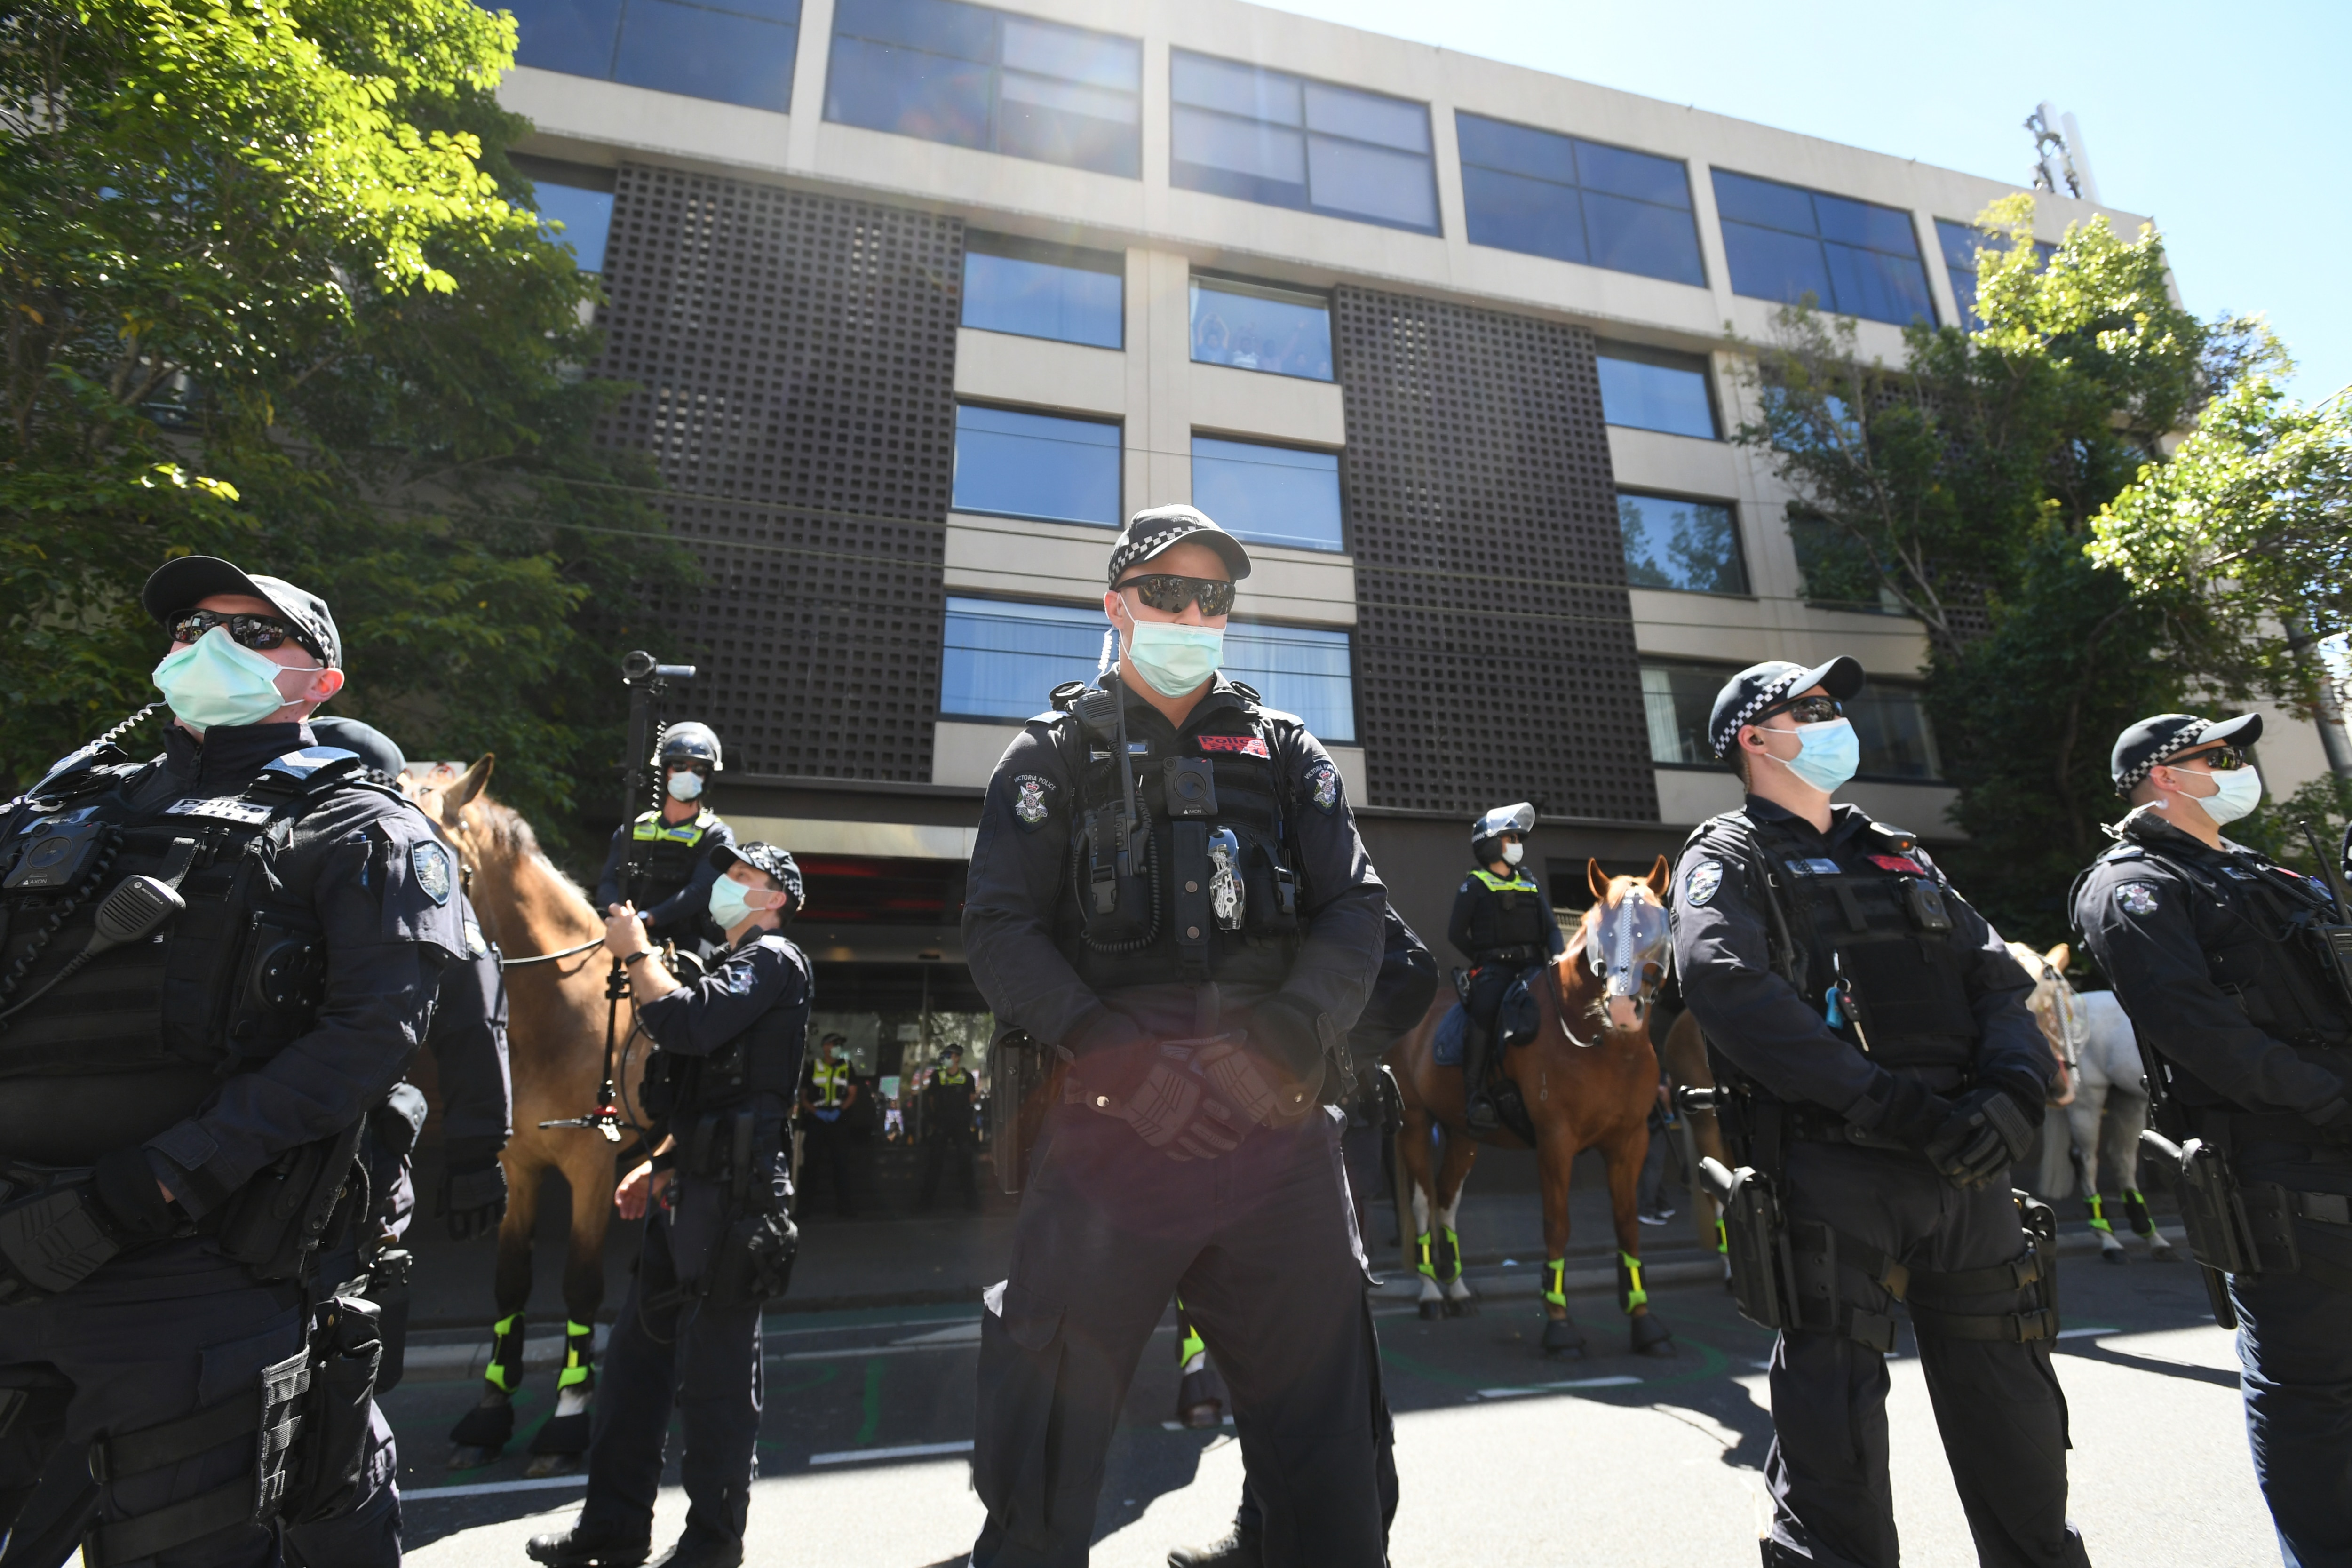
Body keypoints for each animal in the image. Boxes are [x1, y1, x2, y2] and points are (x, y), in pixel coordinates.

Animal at [405, 757, 644, 1476]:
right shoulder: (518, 1165)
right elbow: (511, 1282)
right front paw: (488, 1414)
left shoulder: (592, 1165)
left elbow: (579, 1284)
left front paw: (568, 1418)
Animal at [1383, 860, 1684, 1363]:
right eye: (1602, 929)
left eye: (1657, 927)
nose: (1625, 1008)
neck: (1602, 1042)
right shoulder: (1555, 1141)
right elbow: (1557, 1225)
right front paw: (1560, 1327)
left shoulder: (1631, 1141)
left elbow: (1627, 1227)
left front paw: (1645, 1324)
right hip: (1415, 1123)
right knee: (1425, 1203)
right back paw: (1431, 1295)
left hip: (1464, 1133)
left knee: (1447, 1200)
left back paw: (1458, 1291)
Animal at [2013, 945, 2173, 1260]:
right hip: (2088, 1101)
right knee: (2086, 1160)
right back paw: (2109, 1240)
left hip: (2127, 1098)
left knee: (2122, 1158)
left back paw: (2151, 1235)